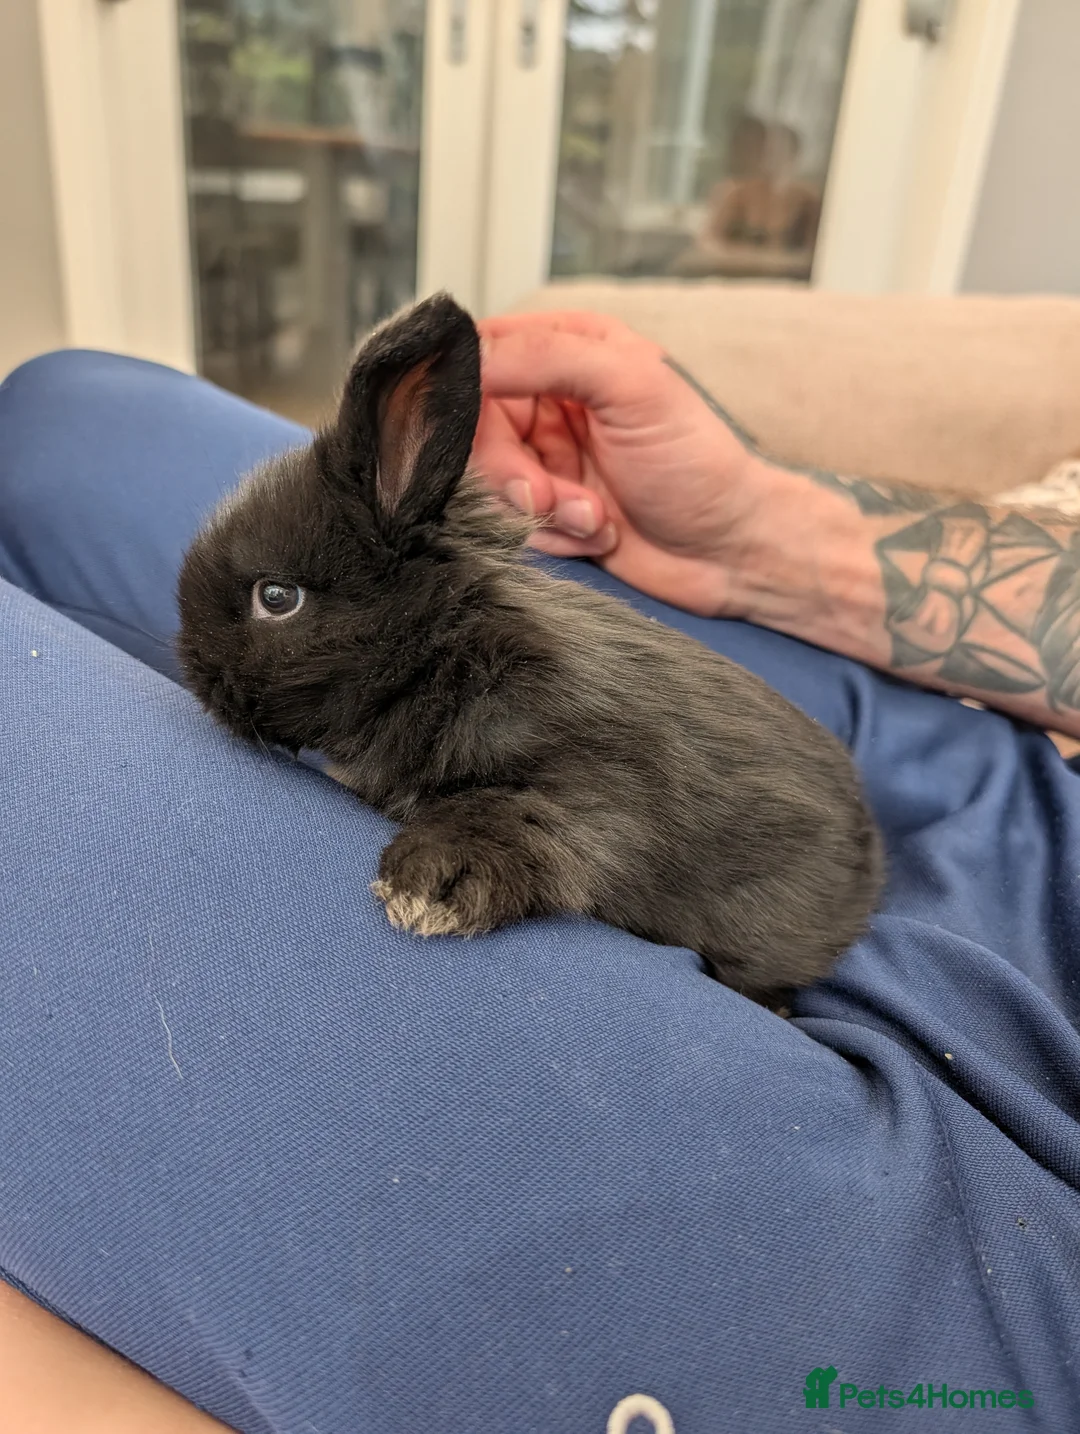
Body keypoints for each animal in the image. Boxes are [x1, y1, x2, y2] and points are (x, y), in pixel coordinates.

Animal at [177, 292, 883, 1002]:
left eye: (276, 597)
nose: (197, 672)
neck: (444, 655)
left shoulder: (591, 789)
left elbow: (518, 823)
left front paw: (427, 889)